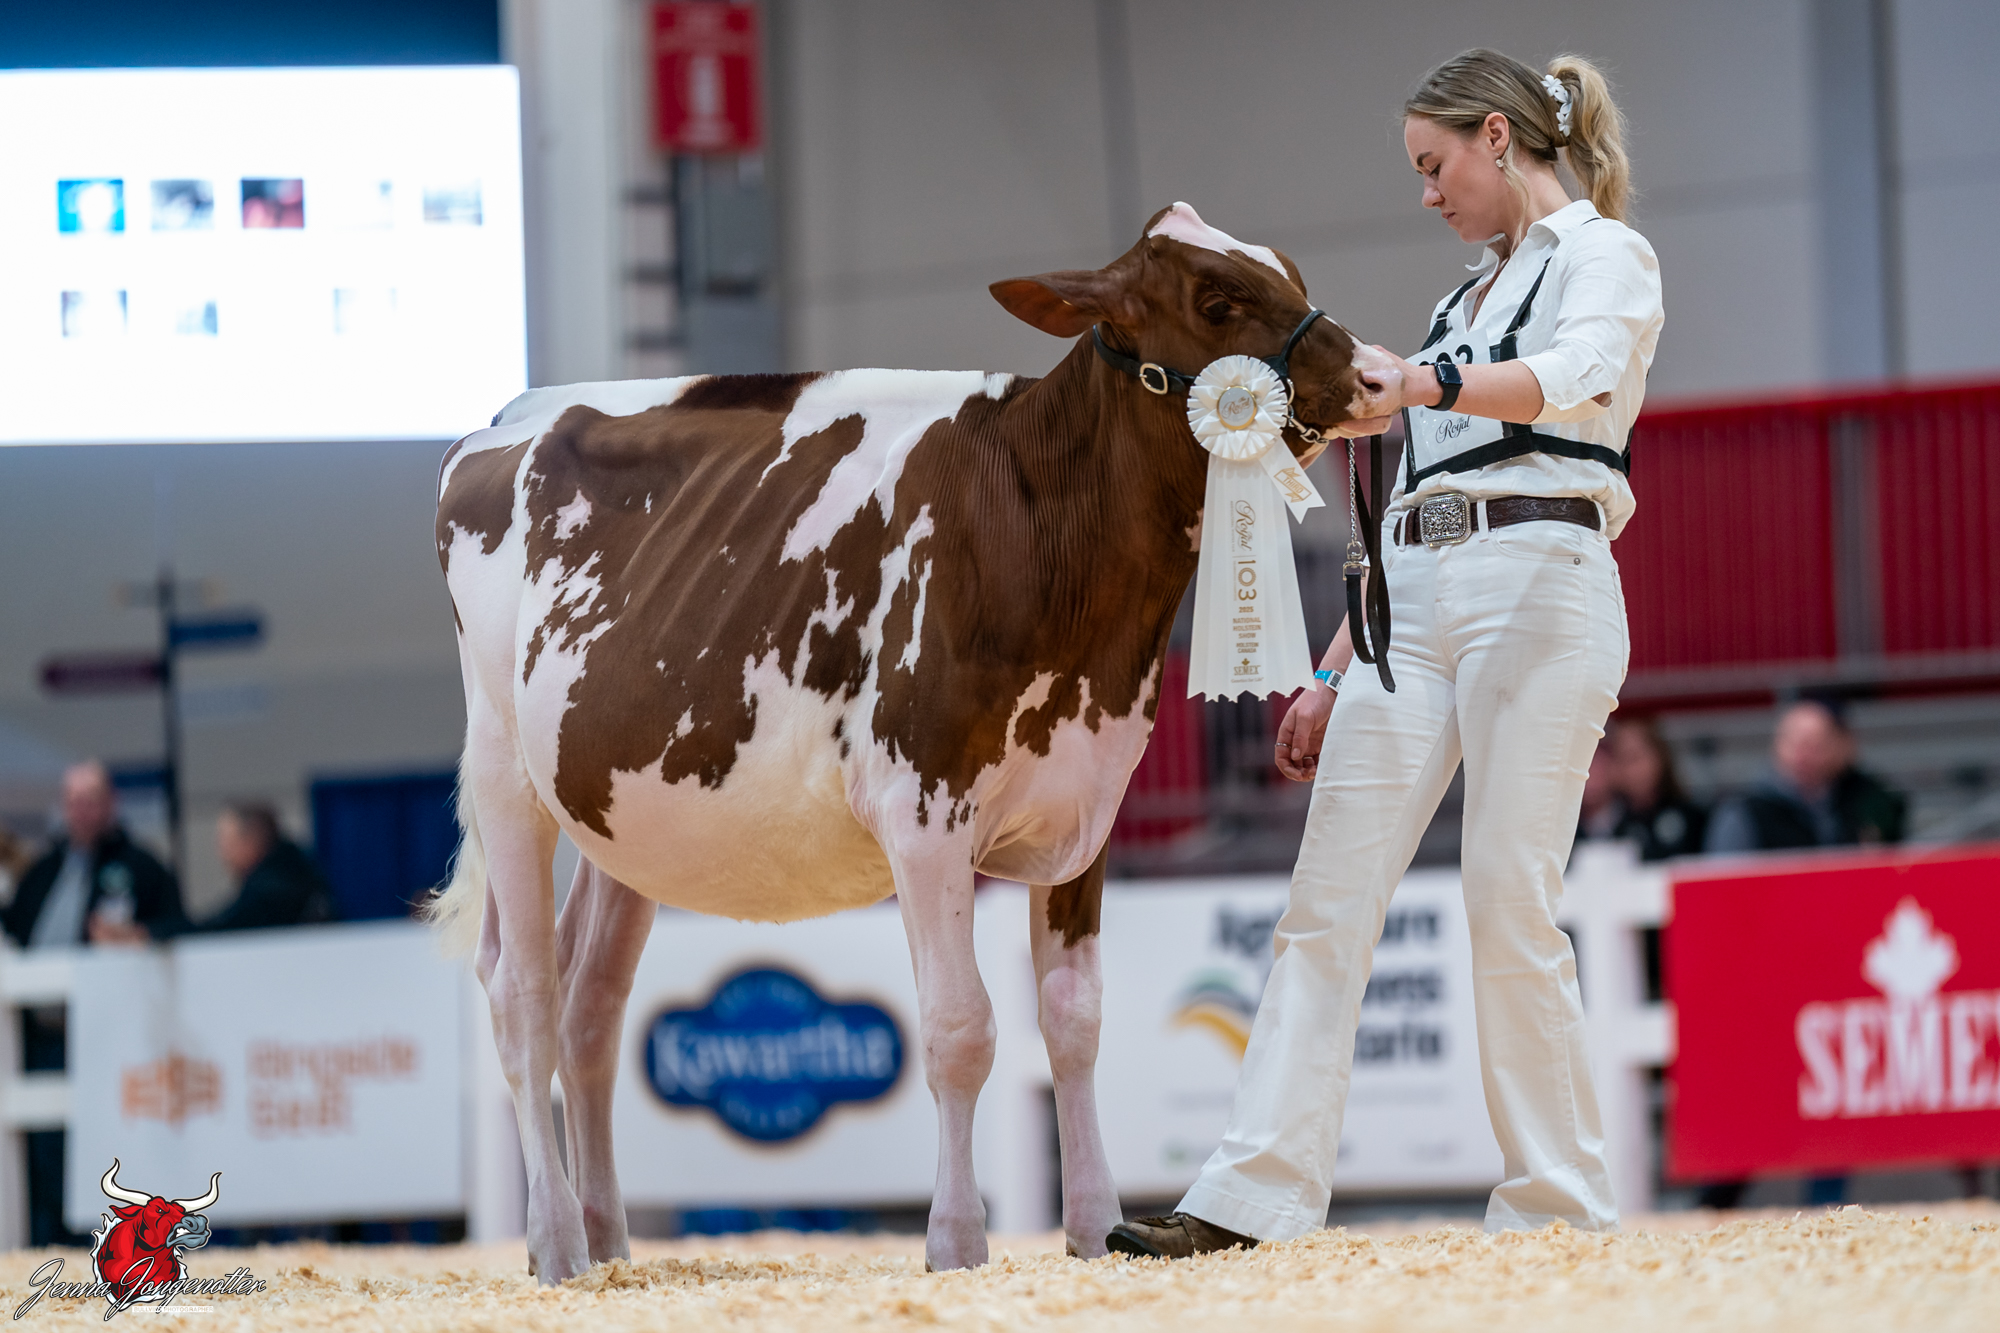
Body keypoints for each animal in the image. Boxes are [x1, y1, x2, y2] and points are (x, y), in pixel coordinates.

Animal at [429, 202, 1396, 1280]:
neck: (1041, 531)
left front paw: (1094, 1228)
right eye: (1216, 298)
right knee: (523, 994)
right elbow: (961, 1027)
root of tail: (515, 415)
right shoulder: (922, 810)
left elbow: (1073, 1020)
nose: (1375, 375)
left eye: (1288, 269)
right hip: (504, 773)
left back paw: (607, 1242)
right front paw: (957, 1240)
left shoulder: (1087, 809)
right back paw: (554, 1243)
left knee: (590, 1002)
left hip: (618, 813)